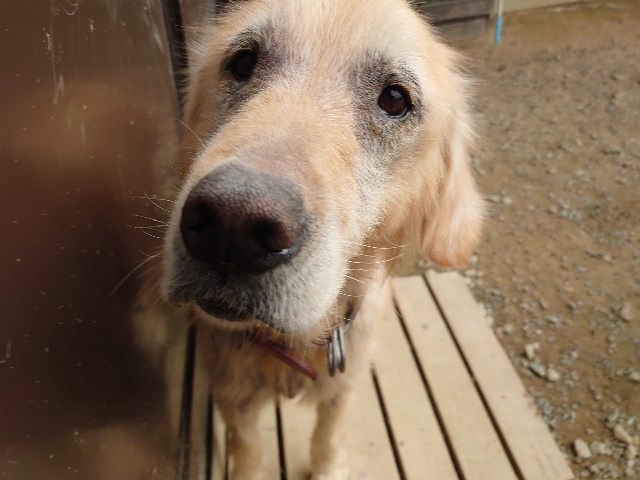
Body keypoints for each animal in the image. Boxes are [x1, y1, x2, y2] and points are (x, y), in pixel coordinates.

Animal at [161, 1, 484, 478]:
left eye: (394, 99)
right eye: (243, 63)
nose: (233, 225)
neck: (291, 345)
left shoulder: (344, 384)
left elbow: (328, 438)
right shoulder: (230, 391)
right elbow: (248, 449)